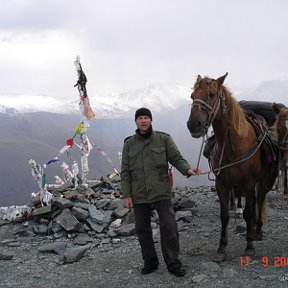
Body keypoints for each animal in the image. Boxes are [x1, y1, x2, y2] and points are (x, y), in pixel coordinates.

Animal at [187, 72, 280, 260]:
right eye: (192, 96)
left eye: (211, 95)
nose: (193, 125)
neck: (233, 145)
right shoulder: (221, 183)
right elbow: (224, 216)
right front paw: (222, 248)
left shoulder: (248, 183)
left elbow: (248, 213)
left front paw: (249, 245)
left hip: (265, 180)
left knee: (260, 200)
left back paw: (257, 230)